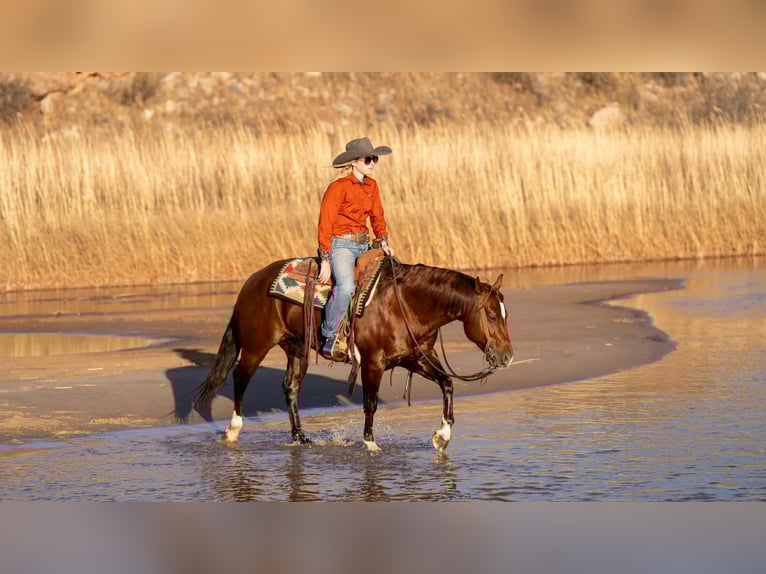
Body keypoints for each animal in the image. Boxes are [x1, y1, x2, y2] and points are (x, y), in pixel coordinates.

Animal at [192, 256, 513, 452]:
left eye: (504, 313)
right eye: (491, 315)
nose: (507, 356)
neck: (407, 304)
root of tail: (252, 282)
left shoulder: (415, 358)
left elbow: (447, 383)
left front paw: (442, 437)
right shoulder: (373, 362)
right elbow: (370, 403)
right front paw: (370, 444)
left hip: (295, 347)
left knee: (290, 387)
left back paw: (300, 438)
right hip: (256, 346)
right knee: (240, 377)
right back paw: (233, 431)